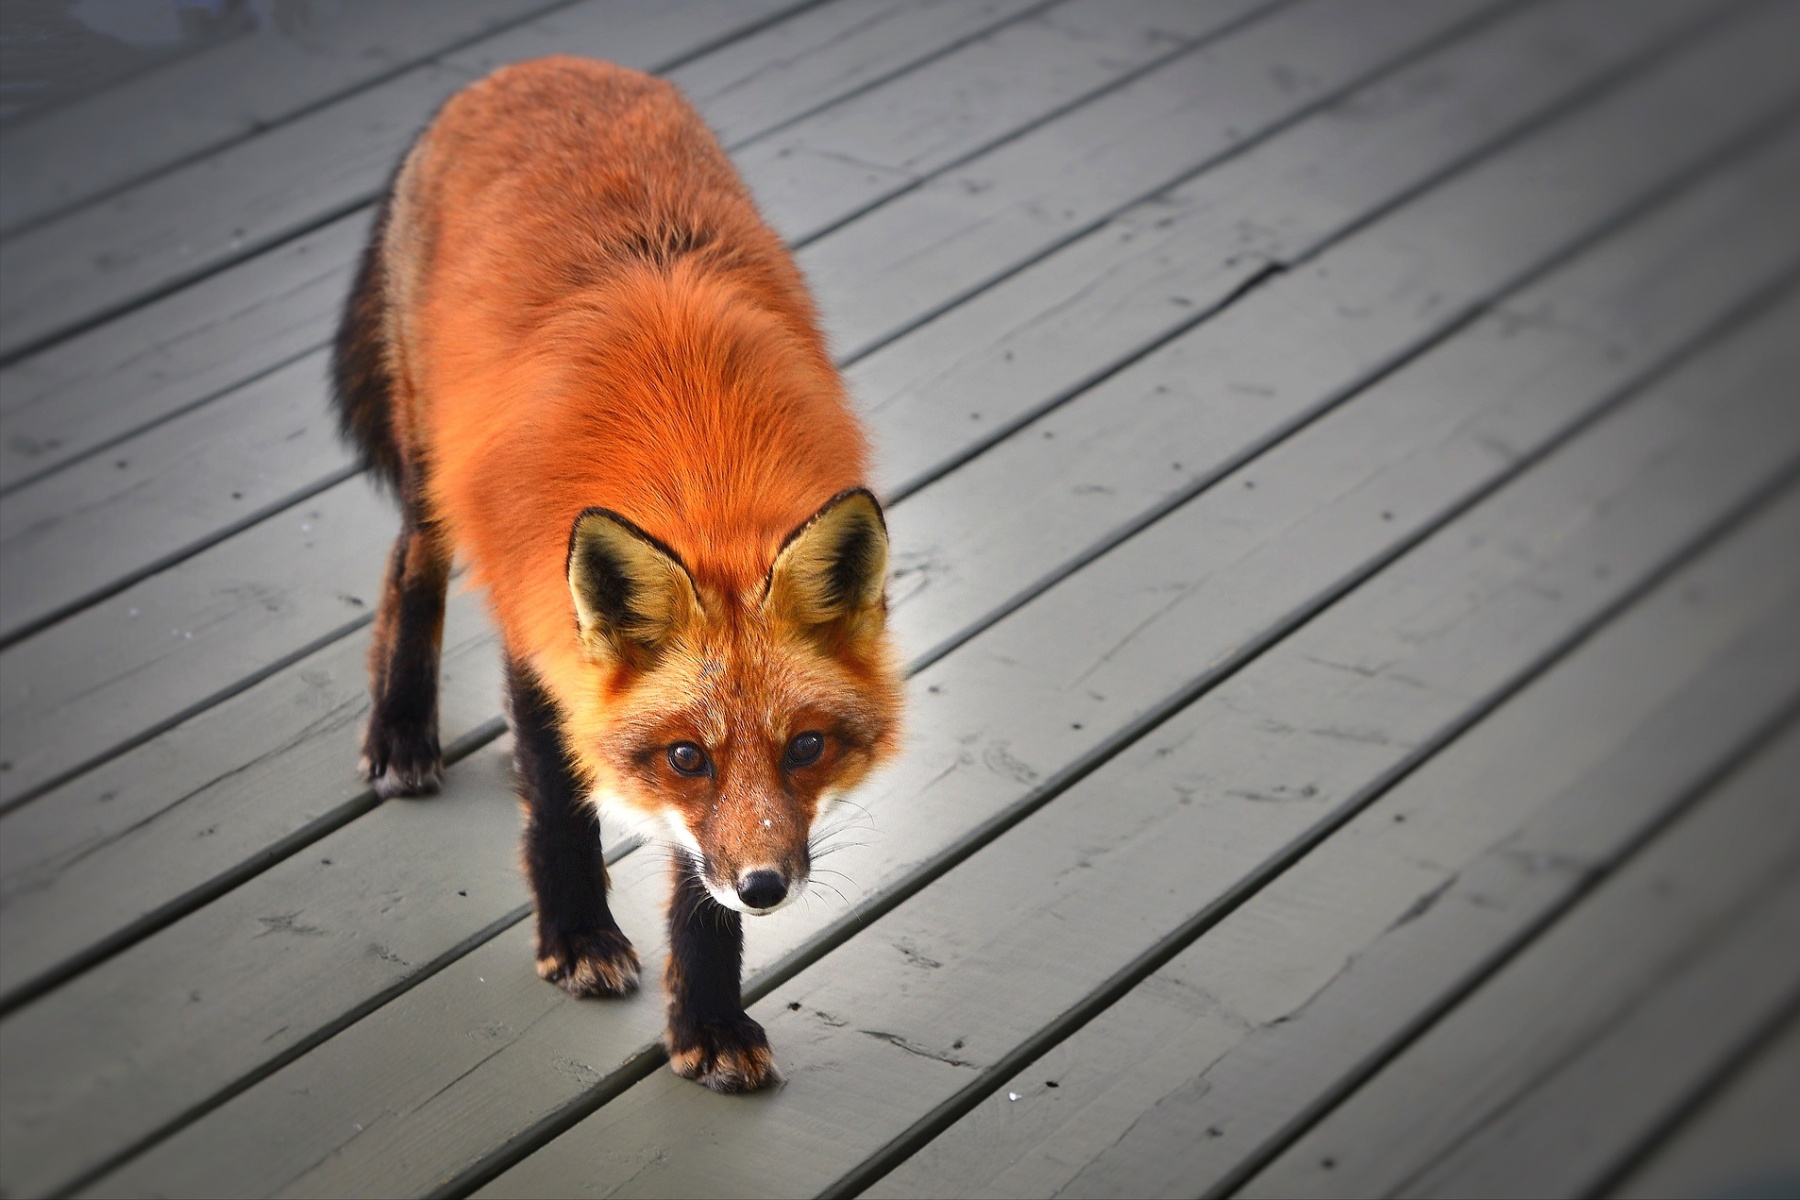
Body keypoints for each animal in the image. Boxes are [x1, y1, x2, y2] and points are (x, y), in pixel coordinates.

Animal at [333, 56, 907, 1093]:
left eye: (807, 747)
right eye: (687, 756)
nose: (766, 888)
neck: (698, 475)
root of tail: (531, 66)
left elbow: (693, 883)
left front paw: (707, 1020)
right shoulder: (542, 628)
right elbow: (562, 807)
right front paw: (576, 937)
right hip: (436, 470)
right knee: (409, 568)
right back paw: (399, 728)